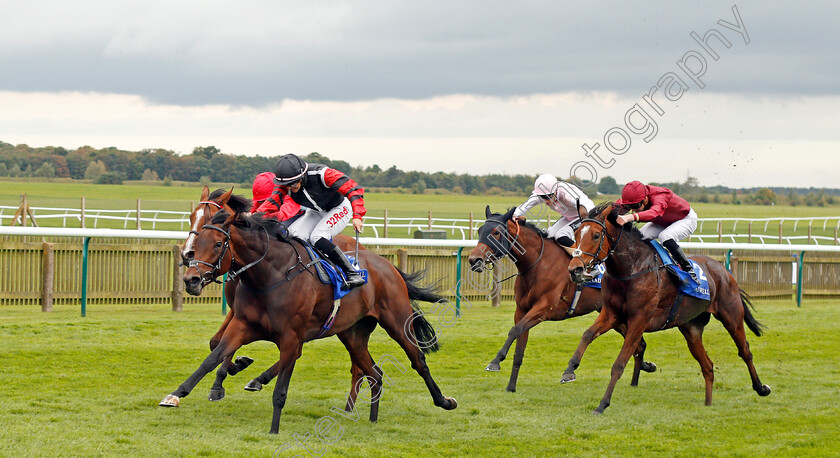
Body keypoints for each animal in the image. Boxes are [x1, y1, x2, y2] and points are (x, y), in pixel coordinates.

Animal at [162, 208, 460, 432]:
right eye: (196, 243)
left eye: (217, 244)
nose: (191, 279)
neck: (270, 275)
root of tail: (386, 265)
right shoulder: (242, 325)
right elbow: (212, 357)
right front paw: (176, 394)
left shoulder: (292, 337)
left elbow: (281, 384)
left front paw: (273, 428)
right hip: (352, 334)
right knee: (374, 373)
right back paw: (370, 418)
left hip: (397, 321)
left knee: (417, 360)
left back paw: (444, 400)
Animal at [466, 206, 656, 392]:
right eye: (479, 230)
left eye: (496, 232)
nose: (474, 259)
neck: (537, 263)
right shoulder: (522, 310)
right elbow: (519, 347)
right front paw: (511, 387)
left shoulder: (544, 309)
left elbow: (514, 330)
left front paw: (495, 362)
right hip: (613, 315)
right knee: (639, 345)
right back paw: (638, 376)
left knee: (638, 343)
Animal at [564, 202, 768, 414]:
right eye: (576, 233)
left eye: (596, 235)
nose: (575, 269)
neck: (631, 269)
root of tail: (725, 272)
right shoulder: (611, 314)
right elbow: (587, 334)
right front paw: (569, 371)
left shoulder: (639, 320)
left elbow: (619, 364)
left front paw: (602, 404)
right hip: (691, 329)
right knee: (708, 365)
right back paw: (708, 402)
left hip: (732, 316)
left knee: (745, 351)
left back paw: (761, 388)